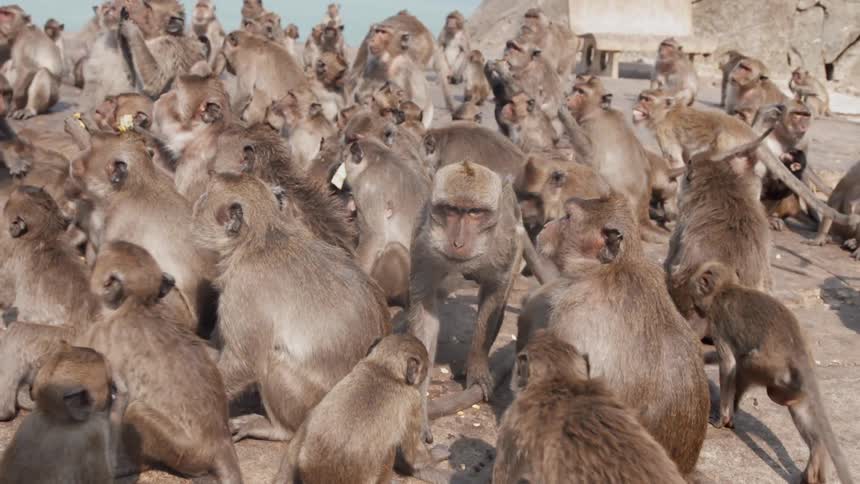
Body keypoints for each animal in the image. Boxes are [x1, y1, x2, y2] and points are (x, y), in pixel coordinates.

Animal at [191, 172, 390, 442]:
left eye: (204, 197)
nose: (194, 207)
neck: (264, 234)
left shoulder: (244, 290)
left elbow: (245, 361)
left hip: (306, 403)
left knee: (272, 359)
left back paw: (278, 429)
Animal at [560, 75, 667, 243]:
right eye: (575, 88)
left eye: (581, 92)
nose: (569, 98)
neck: (599, 111)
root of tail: (641, 217)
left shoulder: (591, 126)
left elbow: (589, 158)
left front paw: (563, 114)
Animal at [632, 88, 859, 230]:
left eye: (646, 99)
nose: (636, 105)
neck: (666, 112)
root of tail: (746, 131)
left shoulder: (665, 132)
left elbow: (678, 164)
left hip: (726, 145)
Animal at [687, 261, 855, 484]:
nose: (694, 304)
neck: (725, 288)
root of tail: (799, 351)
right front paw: (702, 357)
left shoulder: (718, 321)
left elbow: (729, 364)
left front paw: (720, 419)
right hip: (792, 379)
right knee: (799, 408)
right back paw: (816, 453)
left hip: (769, 367)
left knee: (745, 366)